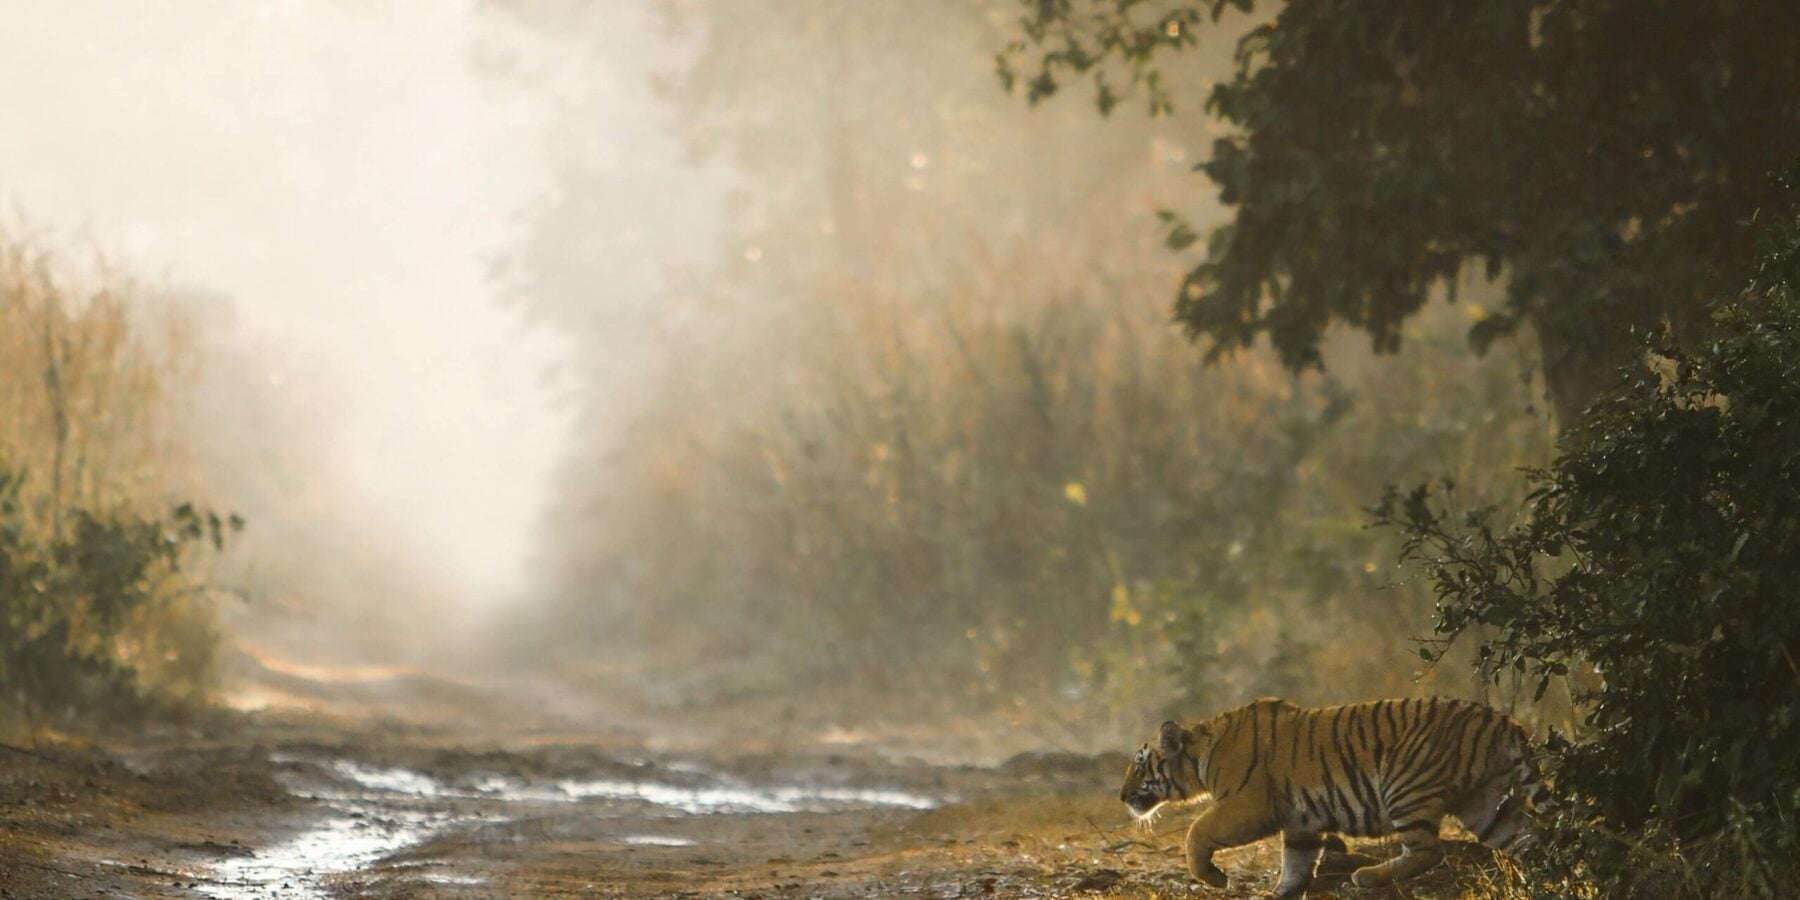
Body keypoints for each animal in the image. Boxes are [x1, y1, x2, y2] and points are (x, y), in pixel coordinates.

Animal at [1119, 697, 1543, 897]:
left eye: (1139, 765)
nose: (1122, 797)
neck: (1201, 757)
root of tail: (1503, 721)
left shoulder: (1248, 804)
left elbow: (1196, 832)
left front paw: (1215, 878)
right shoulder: (1300, 822)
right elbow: (1295, 863)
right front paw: (1280, 894)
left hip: (1405, 785)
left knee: (1428, 851)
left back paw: (1367, 877)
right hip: (1486, 803)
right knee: (1528, 840)